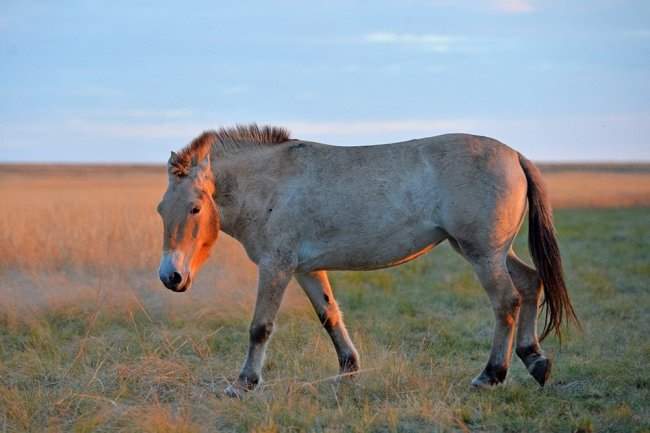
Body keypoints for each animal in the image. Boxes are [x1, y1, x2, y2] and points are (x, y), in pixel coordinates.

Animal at [156, 123, 576, 396]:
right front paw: (348, 370)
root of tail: (514, 155)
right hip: (493, 252)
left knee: (507, 301)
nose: (170, 276)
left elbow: (260, 327)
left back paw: (491, 375)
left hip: (483, 254)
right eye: (161, 209)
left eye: (195, 208)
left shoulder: (276, 267)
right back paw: (535, 360)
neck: (271, 182)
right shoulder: (306, 270)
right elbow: (330, 316)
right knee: (531, 282)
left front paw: (244, 383)